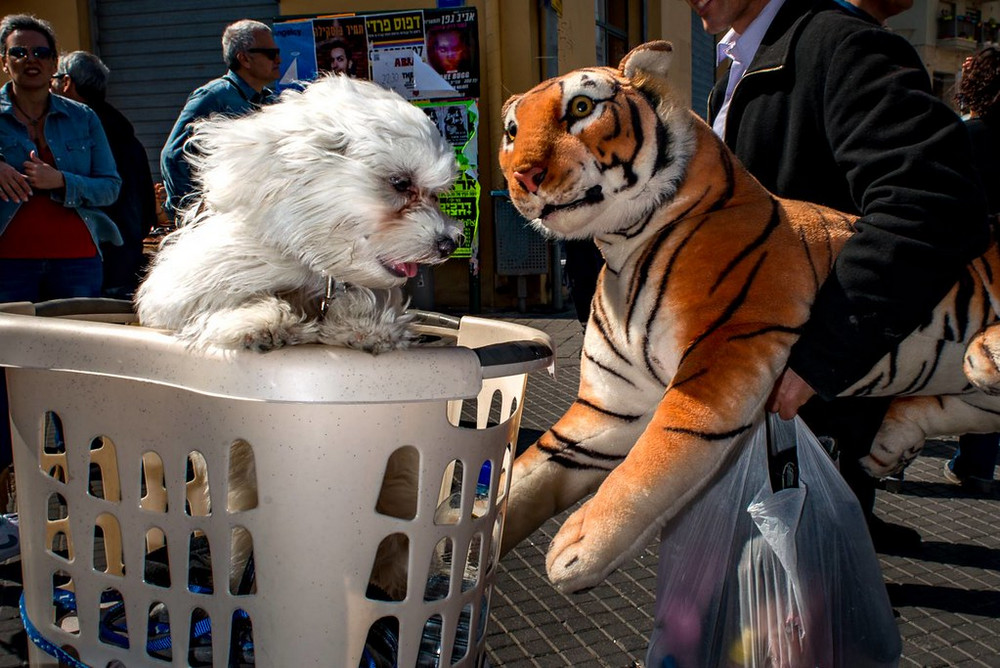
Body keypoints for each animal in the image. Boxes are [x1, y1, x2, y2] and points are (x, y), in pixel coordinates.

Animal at [136, 73, 460, 352]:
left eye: (436, 193)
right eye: (401, 183)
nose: (449, 244)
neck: (318, 269)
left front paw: (366, 325)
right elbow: (216, 307)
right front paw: (258, 320)